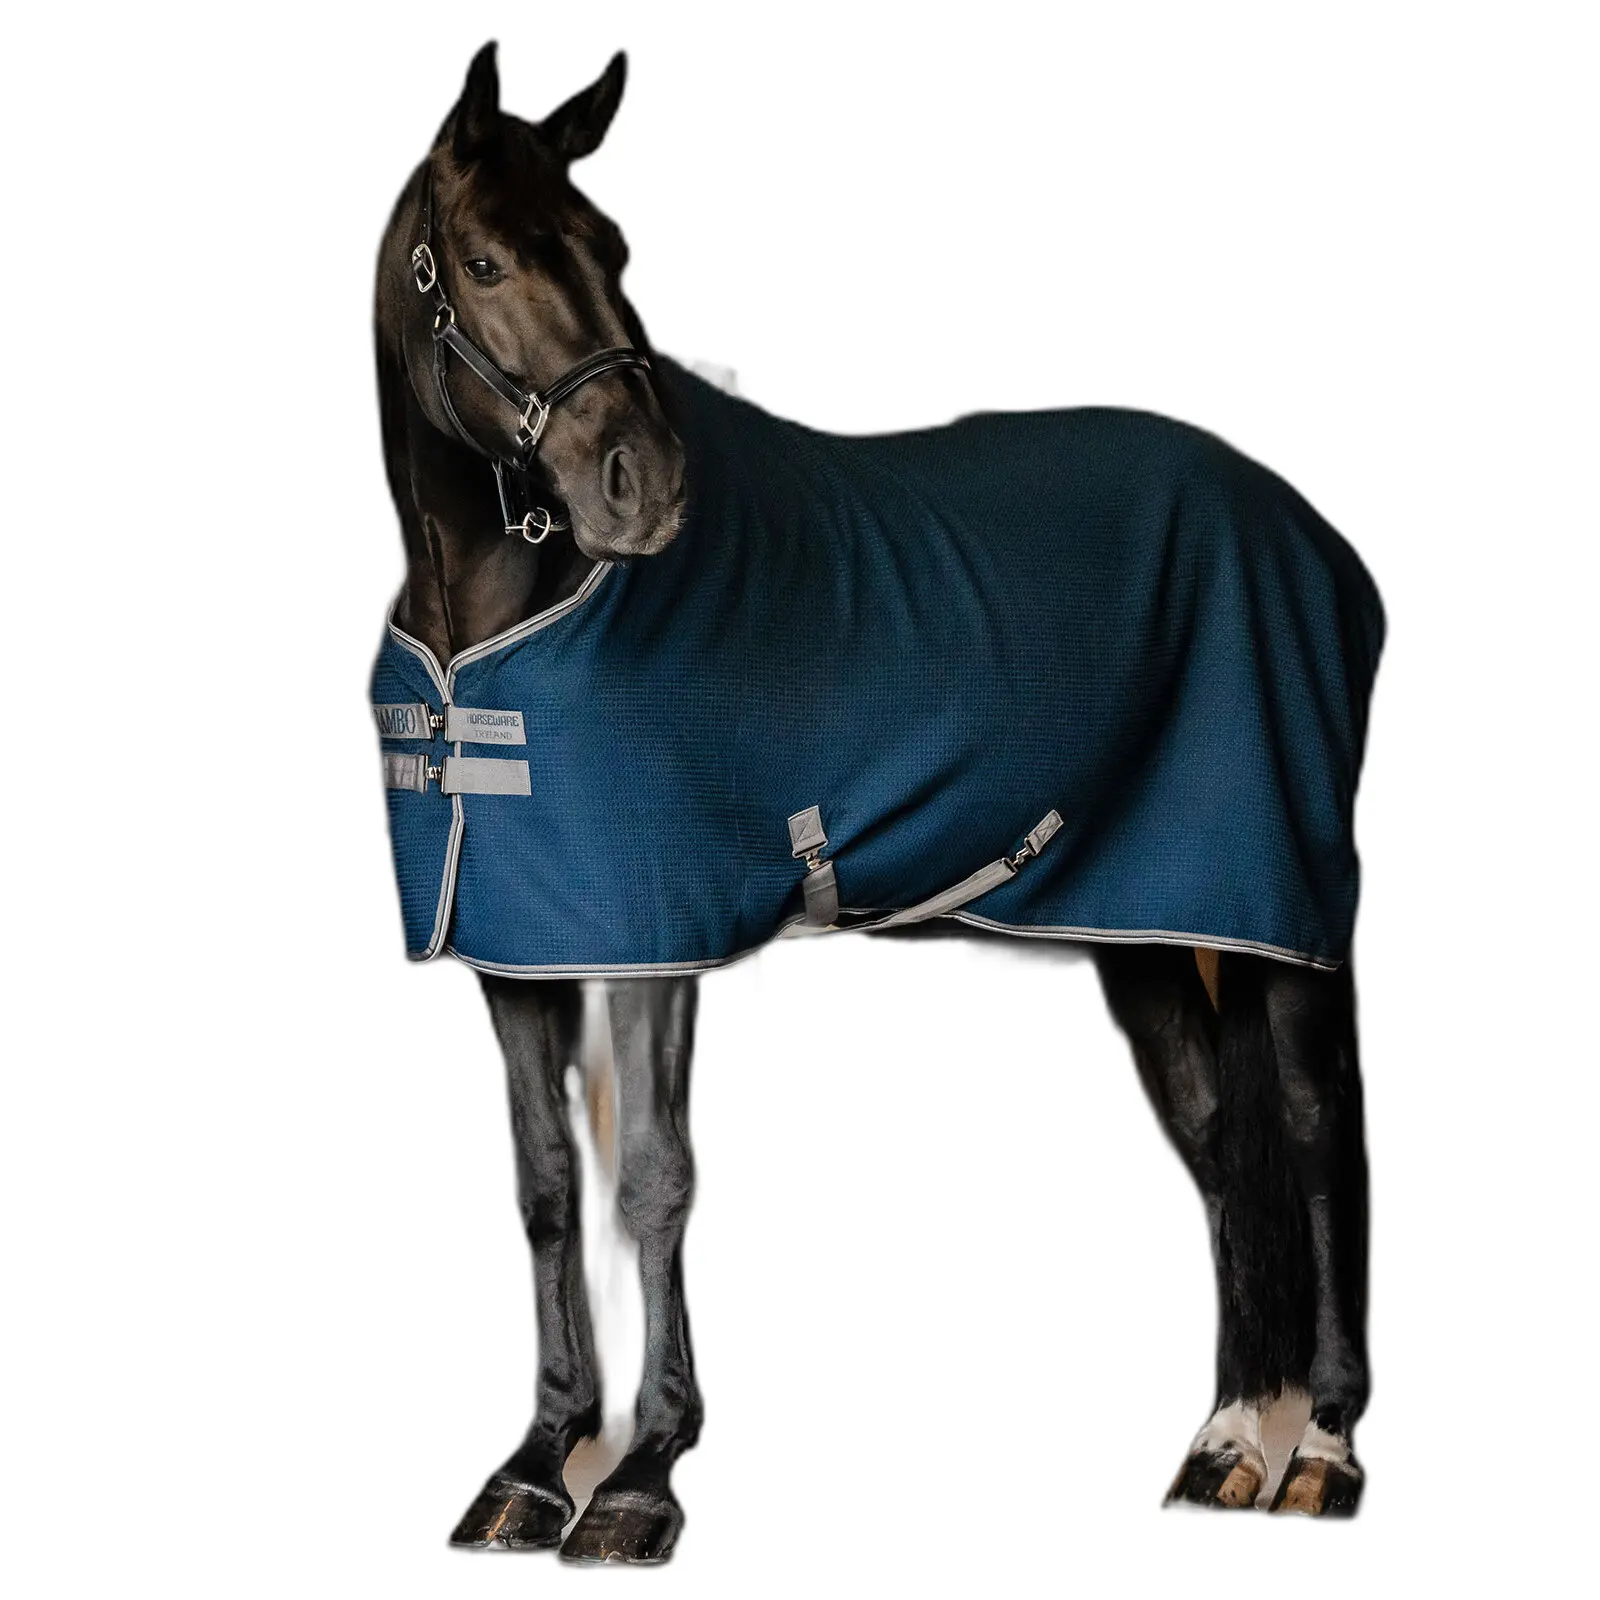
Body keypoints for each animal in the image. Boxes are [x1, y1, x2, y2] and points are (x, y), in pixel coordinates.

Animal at [370, 42, 1380, 1562]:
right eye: (484, 261)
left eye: (612, 248)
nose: (644, 489)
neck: (499, 620)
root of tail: (1311, 535)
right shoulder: (522, 948)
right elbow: (549, 1187)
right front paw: (537, 1464)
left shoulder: (656, 938)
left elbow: (653, 1176)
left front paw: (644, 1475)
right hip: (1156, 928)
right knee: (1220, 1146)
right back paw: (1222, 1445)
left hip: (1283, 913)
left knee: (1317, 1138)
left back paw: (1319, 1446)